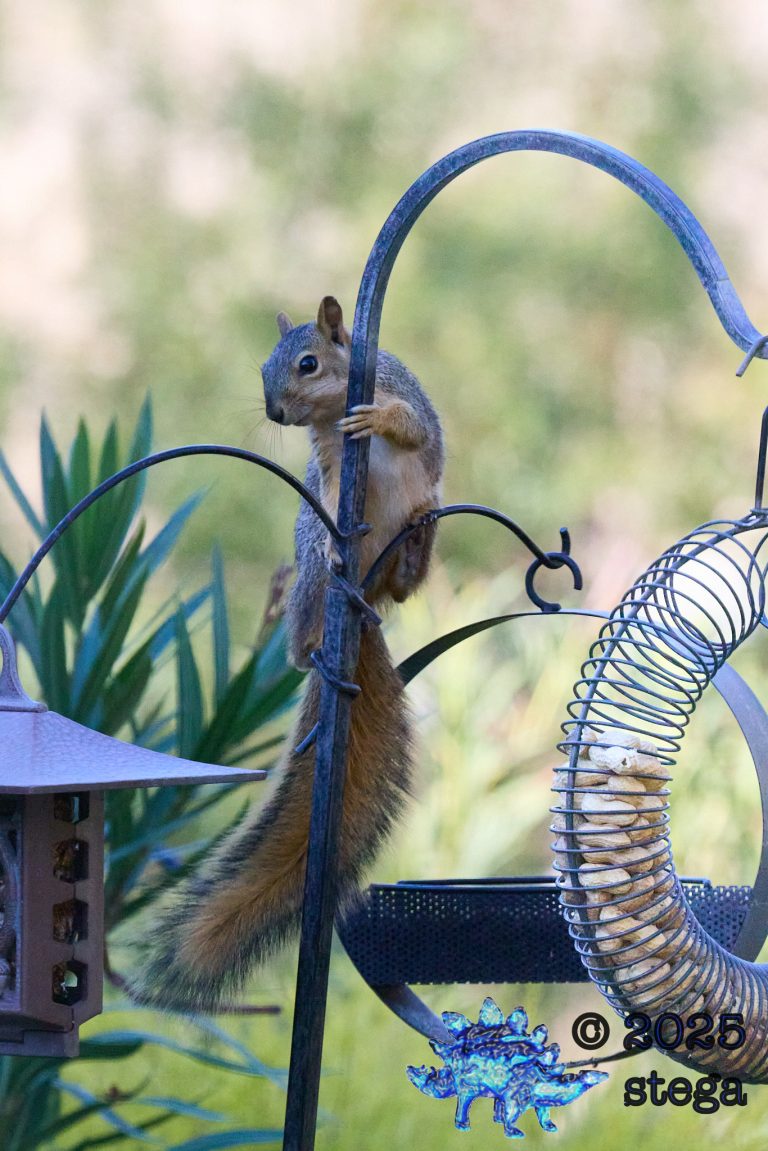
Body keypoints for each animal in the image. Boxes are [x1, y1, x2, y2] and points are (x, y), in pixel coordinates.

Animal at [132, 296, 444, 1011]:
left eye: (307, 364)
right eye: (264, 370)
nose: (275, 413)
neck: (334, 411)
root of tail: (359, 607)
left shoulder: (410, 399)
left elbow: (413, 428)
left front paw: (376, 418)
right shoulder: (327, 463)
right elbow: (327, 495)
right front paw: (333, 521)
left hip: (412, 537)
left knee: (405, 580)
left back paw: (413, 549)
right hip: (310, 588)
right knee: (309, 629)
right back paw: (317, 643)